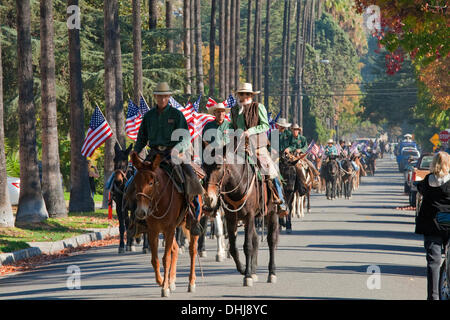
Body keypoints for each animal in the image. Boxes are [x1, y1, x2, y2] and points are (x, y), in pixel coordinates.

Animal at [131, 152, 200, 298]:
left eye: (151, 183)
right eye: (135, 182)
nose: (140, 212)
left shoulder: (169, 229)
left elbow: (166, 258)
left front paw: (164, 288)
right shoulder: (153, 231)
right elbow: (155, 259)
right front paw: (162, 281)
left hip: (190, 226)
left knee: (192, 251)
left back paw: (191, 282)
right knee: (175, 248)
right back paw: (171, 280)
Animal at [202, 148, 280, 284]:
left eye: (218, 166)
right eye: (204, 166)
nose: (208, 199)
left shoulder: (249, 216)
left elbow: (247, 246)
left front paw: (247, 276)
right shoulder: (231, 218)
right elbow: (233, 248)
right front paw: (244, 269)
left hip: (272, 214)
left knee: (271, 240)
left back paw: (272, 273)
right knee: (256, 239)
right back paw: (254, 271)